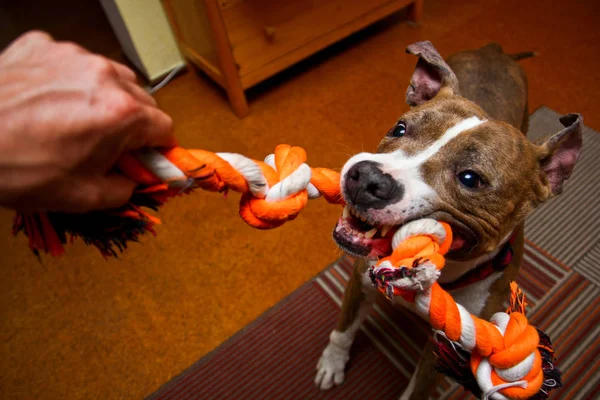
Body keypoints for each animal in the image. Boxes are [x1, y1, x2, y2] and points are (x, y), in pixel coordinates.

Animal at [314, 41, 580, 400]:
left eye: (470, 179)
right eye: (400, 128)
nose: (367, 178)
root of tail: (495, 50)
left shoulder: (446, 351)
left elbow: (418, 389)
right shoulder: (360, 281)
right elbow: (343, 330)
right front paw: (333, 363)